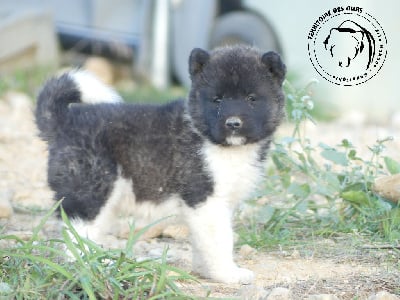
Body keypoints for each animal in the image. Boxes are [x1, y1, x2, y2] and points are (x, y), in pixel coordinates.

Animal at [34, 45, 284, 284]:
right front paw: (228, 274)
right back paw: (94, 267)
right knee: (77, 236)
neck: (221, 146)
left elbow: (203, 241)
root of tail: (64, 122)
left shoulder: (217, 204)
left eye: (252, 98)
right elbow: (220, 241)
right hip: (90, 192)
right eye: (217, 99)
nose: (233, 124)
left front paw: (206, 271)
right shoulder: (205, 199)